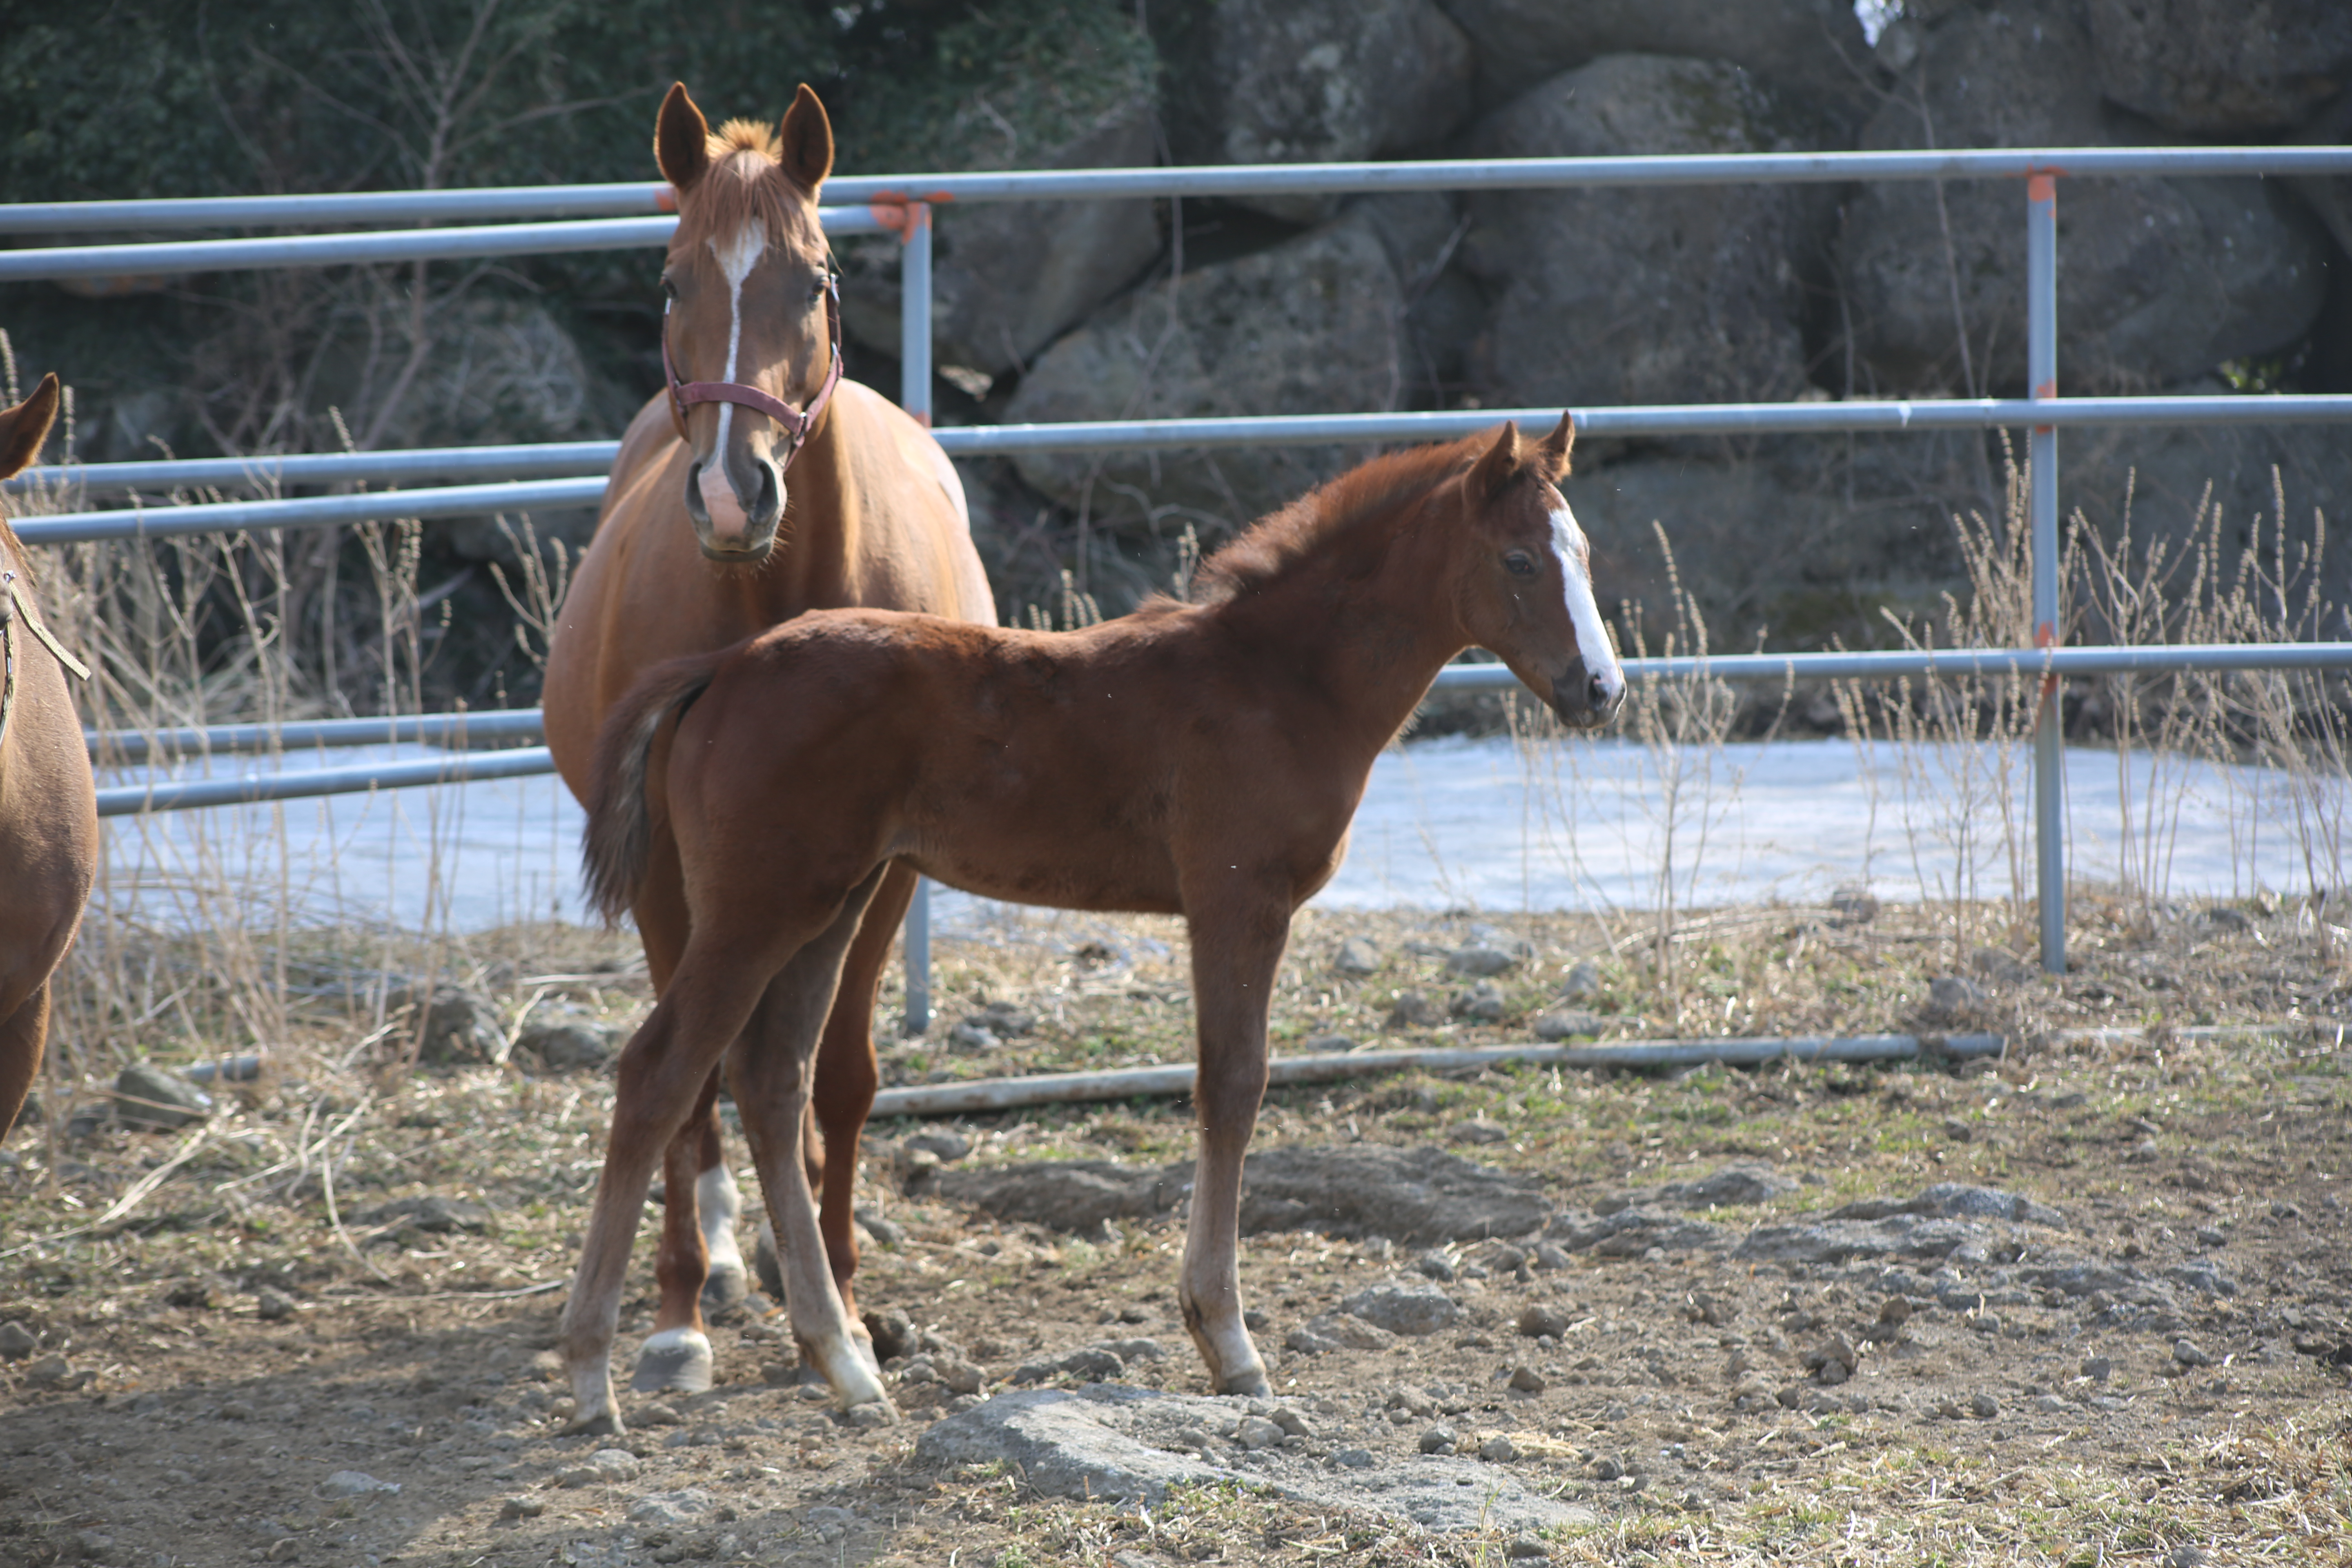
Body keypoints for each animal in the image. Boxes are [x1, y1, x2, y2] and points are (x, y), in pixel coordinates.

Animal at [541, 82, 992, 1401]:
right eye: (672, 279)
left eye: (816, 277)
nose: (732, 493)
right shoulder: (665, 875)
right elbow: (689, 1073)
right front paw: (678, 1310)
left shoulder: (885, 874)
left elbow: (837, 1073)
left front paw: (838, 1289)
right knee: (699, 1064)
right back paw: (717, 1263)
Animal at [569, 421, 1627, 1439]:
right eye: (1519, 560)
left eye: (1584, 551)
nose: (1601, 690)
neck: (1281, 680)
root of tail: (722, 668)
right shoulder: (1236, 901)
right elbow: (1232, 1087)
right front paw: (1227, 1342)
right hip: (760, 905)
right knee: (662, 1070)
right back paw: (595, 1377)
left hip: (835, 900)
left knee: (772, 1078)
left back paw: (844, 1364)